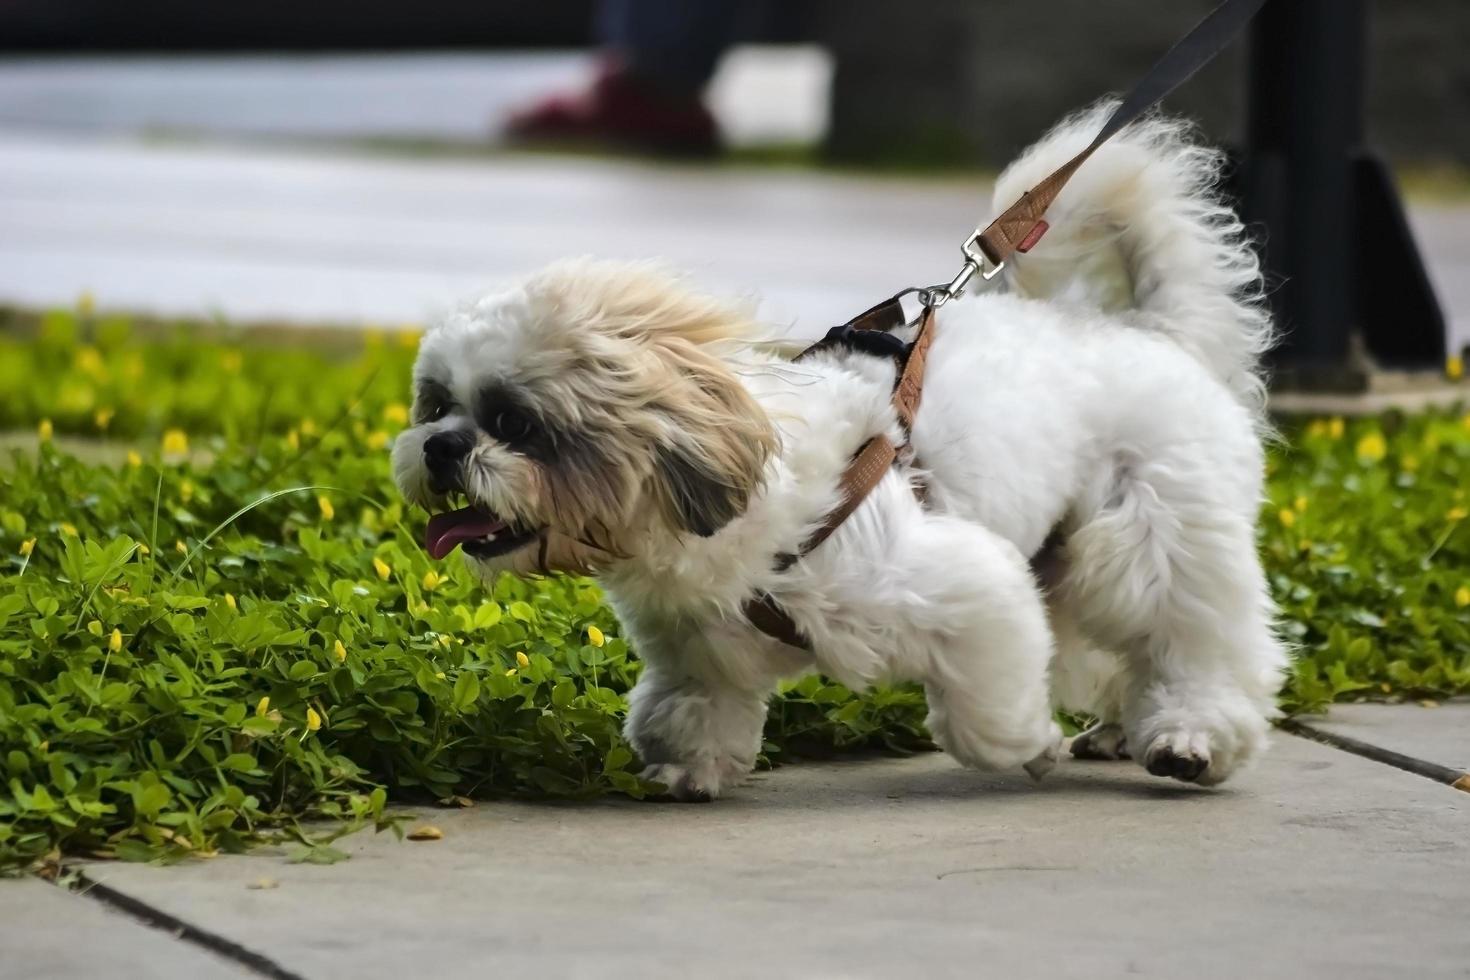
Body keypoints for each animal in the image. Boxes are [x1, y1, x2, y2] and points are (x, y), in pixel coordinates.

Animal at [391, 103, 1287, 799]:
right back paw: (1115, 727)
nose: (439, 447)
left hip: (1149, 539)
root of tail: (1153, 333)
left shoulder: (962, 587)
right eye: (435, 404)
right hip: (1068, 558)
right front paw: (688, 766)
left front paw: (1029, 745)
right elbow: (690, 707)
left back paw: (1189, 738)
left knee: (1196, 642)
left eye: (515, 423)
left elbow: (986, 715)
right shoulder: (696, 646)